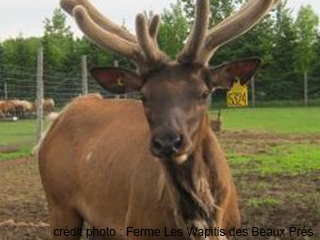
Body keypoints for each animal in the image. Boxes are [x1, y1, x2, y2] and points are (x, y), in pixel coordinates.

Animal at [37, 0, 278, 239]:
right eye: (144, 95)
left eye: (204, 93)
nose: (167, 142)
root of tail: (57, 119)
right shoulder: (136, 226)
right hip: (59, 202)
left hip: (100, 221)